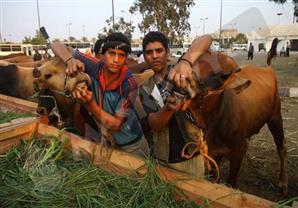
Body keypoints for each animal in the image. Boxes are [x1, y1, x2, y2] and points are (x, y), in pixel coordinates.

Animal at [186, 51, 286, 194]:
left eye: (222, 76)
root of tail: (267, 69)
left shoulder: (238, 151)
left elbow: (232, 183)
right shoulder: (212, 154)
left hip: (275, 117)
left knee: (282, 149)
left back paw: (283, 182)